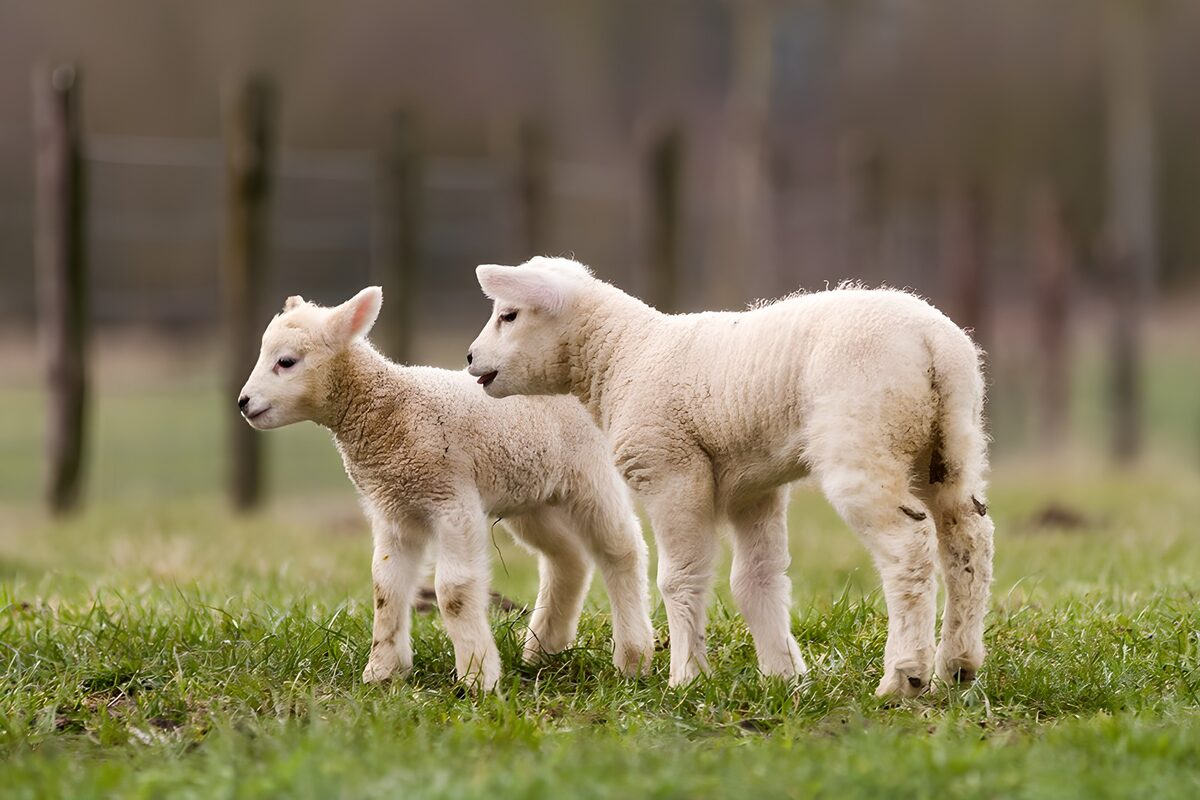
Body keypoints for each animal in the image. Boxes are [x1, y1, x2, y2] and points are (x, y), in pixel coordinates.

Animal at [238, 286, 655, 690]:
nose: (243, 403)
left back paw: (633, 657)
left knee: (621, 550)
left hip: (590, 477)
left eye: (286, 361)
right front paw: (382, 671)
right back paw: (541, 651)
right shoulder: (394, 507)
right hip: (531, 495)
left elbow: (454, 590)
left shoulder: (451, 499)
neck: (390, 410)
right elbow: (385, 586)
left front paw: (476, 677)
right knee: (568, 558)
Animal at [467, 257, 994, 698]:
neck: (622, 356)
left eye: (509, 315)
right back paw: (958, 665)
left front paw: (686, 678)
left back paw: (904, 676)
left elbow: (680, 578)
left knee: (908, 547)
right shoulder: (753, 486)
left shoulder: (671, 469)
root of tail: (932, 341)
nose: (471, 358)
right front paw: (783, 676)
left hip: (863, 438)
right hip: (951, 440)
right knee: (968, 538)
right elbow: (756, 579)